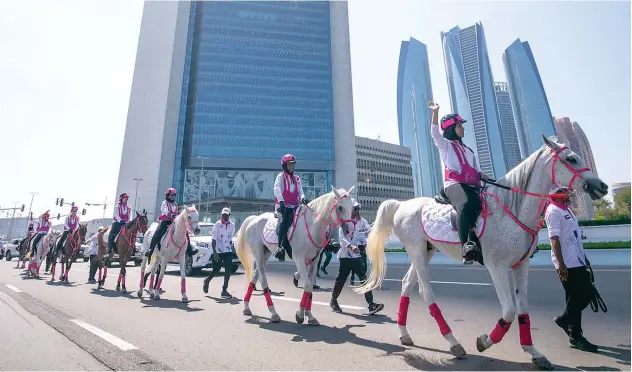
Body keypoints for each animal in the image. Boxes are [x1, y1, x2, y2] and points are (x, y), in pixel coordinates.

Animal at [236, 186, 358, 326]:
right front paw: (300, 314)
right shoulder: (299, 259)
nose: (350, 230)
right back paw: (273, 313)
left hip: (266, 253)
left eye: (352, 207)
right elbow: (307, 285)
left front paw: (309, 315)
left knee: (254, 277)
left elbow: (310, 287)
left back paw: (246, 307)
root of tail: (254, 219)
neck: (312, 226)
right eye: (340, 207)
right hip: (258, 253)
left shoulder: (314, 260)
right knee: (262, 280)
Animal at [356, 136, 608, 370]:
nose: (602, 186)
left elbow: (523, 311)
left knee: (407, 284)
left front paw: (534, 352)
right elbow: (509, 311)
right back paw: (454, 343)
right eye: (571, 159)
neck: (512, 209)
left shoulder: (521, 265)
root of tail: (402, 205)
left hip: (427, 250)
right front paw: (485, 341)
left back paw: (405, 334)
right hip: (416, 249)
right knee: (425, 292)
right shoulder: (496, 266)